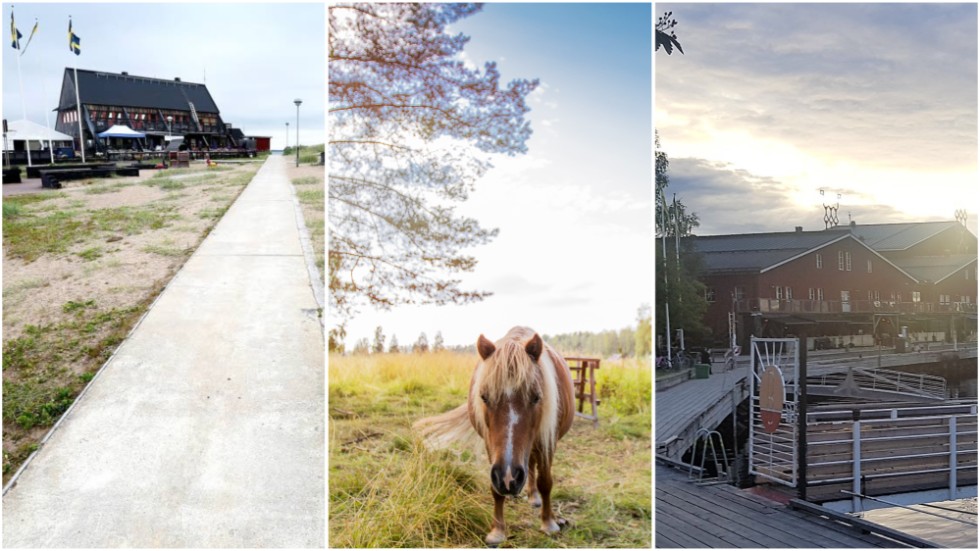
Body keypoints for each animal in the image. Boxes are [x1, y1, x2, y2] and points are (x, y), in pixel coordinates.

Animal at [412, 328, 576, 548]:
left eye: (536, 397)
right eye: (484, 397)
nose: (509, 478)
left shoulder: (547, 441)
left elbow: (546, 482)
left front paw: (548, 522)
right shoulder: (491, 447)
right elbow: (495, 489)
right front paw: (497, 531)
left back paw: (535, 497)